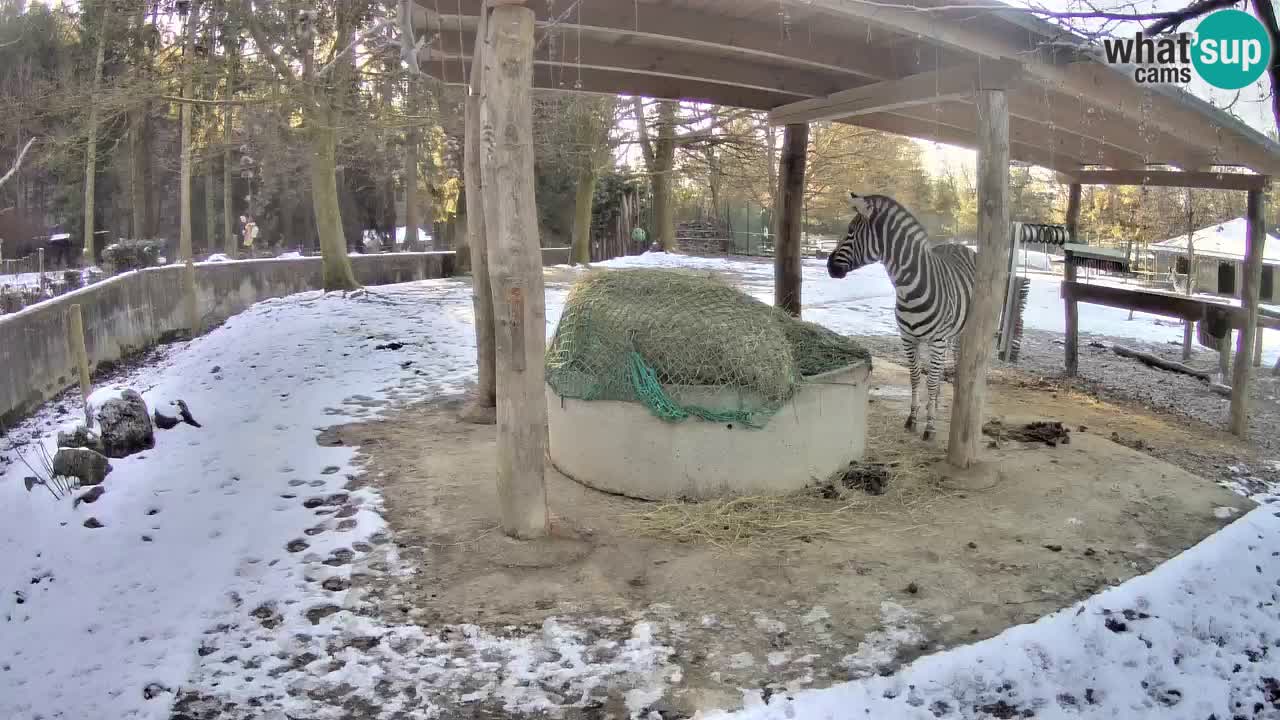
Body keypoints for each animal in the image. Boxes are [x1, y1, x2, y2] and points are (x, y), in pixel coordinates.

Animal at [824, 192, 972, 438]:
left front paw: (930, 425)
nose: (828, 267)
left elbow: (930, 381)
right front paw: (913, 418)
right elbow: (915, 377)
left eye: (851, 231)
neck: (909, 289)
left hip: (958, 333)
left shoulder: (937, 339)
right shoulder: (908, 338)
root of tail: (960, 245)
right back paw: (935, 402)